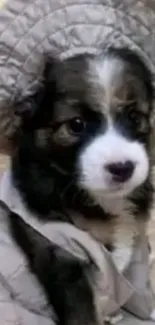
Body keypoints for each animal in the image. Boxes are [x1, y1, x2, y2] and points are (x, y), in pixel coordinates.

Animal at [9, 47, 154, 324]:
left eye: (134, 117)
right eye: (76, 124)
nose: (122, 168)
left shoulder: (136, 246)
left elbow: (142, 290)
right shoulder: (62, 254)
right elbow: (82, 313)